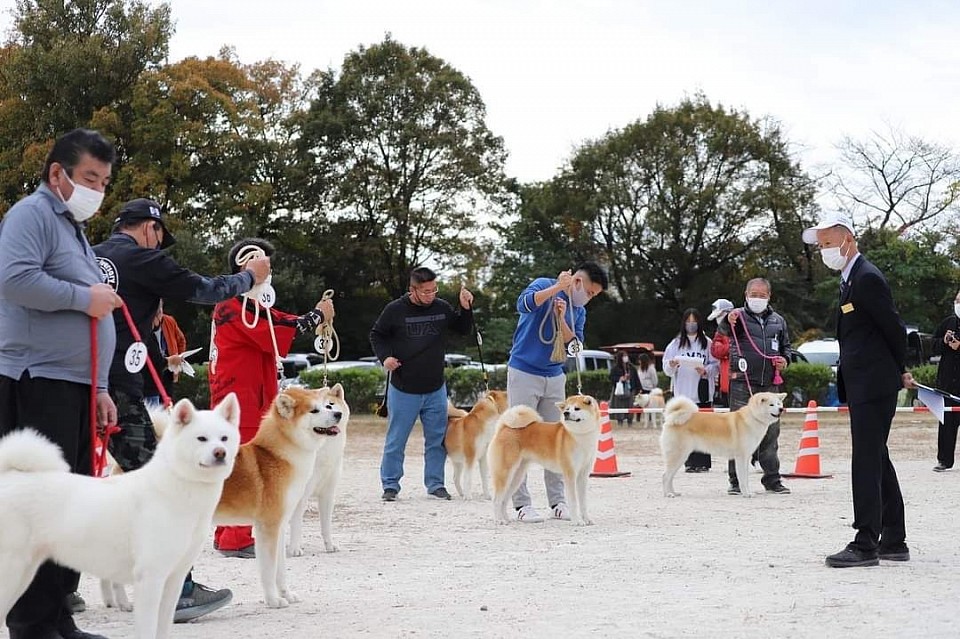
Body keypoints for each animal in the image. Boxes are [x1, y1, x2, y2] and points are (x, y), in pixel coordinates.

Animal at [0, 396, 240, 639]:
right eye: (201, 438)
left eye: (224, 438)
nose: (220, 452)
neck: (176, 489)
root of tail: (9, 477)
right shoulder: (150, 578)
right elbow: (148, 629)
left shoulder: (174, 578)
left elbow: (163, 627)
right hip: (11, 571)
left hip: (24, 573)